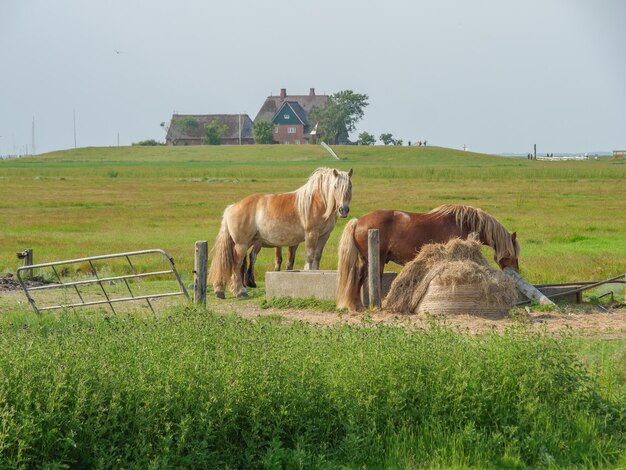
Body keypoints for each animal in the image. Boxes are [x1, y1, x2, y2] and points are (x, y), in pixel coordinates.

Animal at [208, 165, 352, 298]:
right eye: (335, 186)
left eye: (349, 186)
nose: (343, 210)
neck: (317, 201)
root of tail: (232, 207)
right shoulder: (311, 234)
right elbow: (310, 256)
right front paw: (308, 272)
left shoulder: (324, 236)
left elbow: (317, 257)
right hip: (241, 244)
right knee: (236, 264)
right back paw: (240, 291)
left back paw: (220, 290)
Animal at [334, 204, 520, 310]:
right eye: (513, 254)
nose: (516, 271)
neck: (465, 223)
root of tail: (358, 221)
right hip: (377, 261)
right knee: (373, 280)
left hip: (366, 261)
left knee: (358, 279)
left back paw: (357, 306)